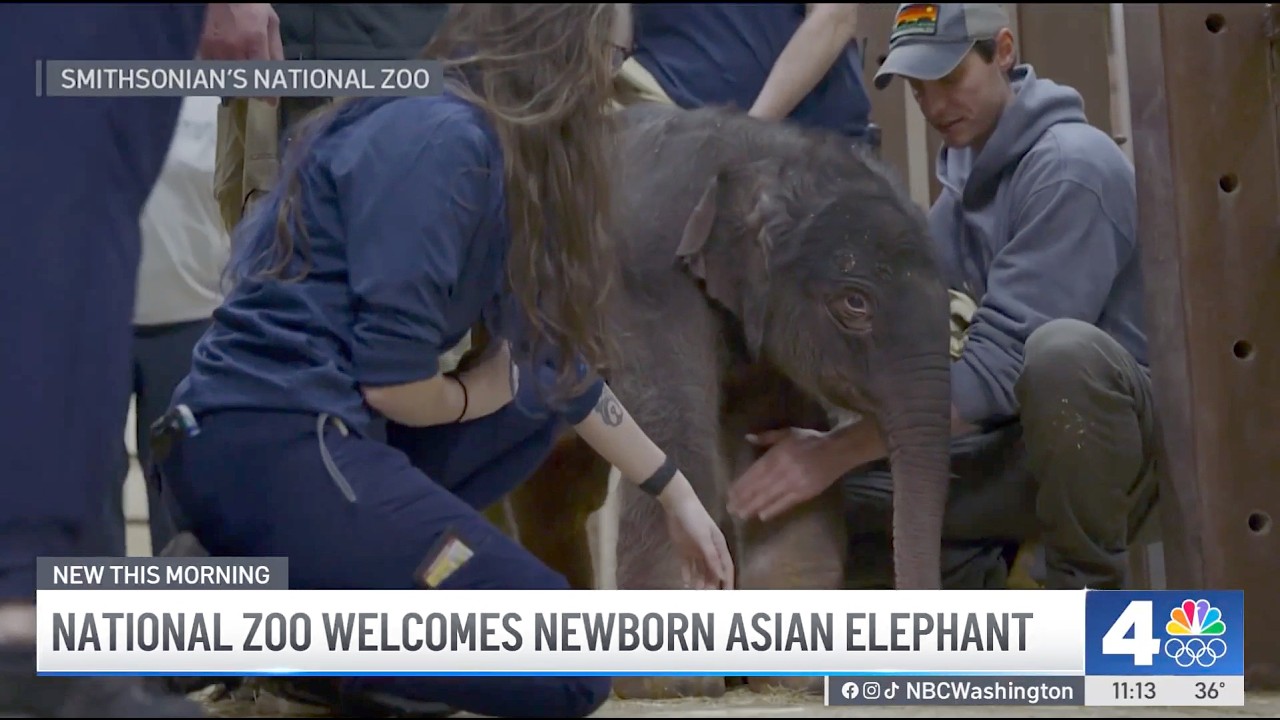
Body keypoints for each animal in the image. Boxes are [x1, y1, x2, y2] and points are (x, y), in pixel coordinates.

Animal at [489, 101, 954, 699]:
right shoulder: (647, 282)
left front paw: (794, 678)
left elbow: (770, 435)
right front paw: (672, 685)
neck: (753, 155)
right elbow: (673, 439)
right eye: (855, 304)